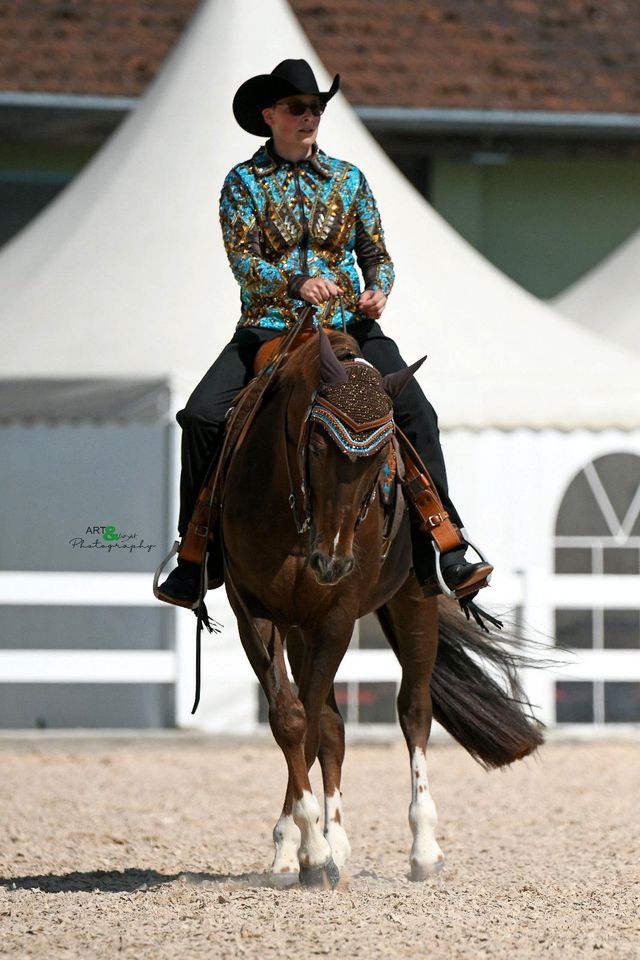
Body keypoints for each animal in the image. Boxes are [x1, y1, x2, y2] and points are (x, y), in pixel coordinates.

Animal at [219, 328, 540, 884]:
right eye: (316, 444)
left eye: (381, 456)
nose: (332, 561)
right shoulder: (254, 613)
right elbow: (292, 719)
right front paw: (301, 849)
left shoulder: (336, 618)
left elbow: (309, 724)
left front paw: (312, 852)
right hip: (300, 627)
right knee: (329, 724)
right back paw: (330, 843)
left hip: (414, 602)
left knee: (414, 709)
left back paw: (424, 848)